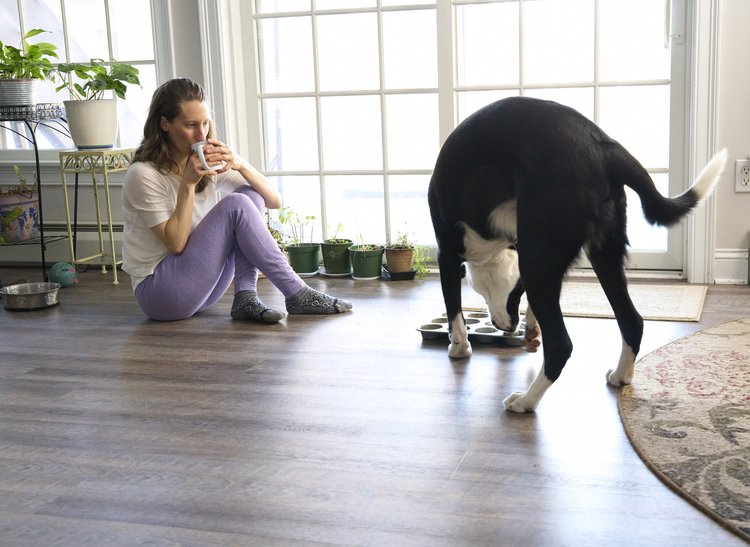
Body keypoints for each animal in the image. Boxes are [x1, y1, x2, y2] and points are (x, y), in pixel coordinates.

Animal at [428, 98, 728, 414]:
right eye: (515, 293)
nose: (505, 326)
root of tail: (603, 146)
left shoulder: (447, 254)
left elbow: (454, 310)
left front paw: (459, 347)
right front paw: (531, 328)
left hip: (540, 262)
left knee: (562, 345)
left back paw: (526, 400)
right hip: (603, 254)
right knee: (632, 321)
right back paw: (621, 375)